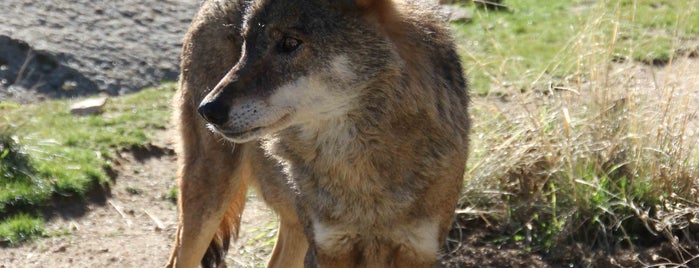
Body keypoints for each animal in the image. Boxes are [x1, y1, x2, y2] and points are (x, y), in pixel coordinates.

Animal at [165, 0, 470, 266]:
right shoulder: (329, 249)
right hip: (208, 199)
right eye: (245, 45)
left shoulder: (418, 251)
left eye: (289, 43)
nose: (208, 110)